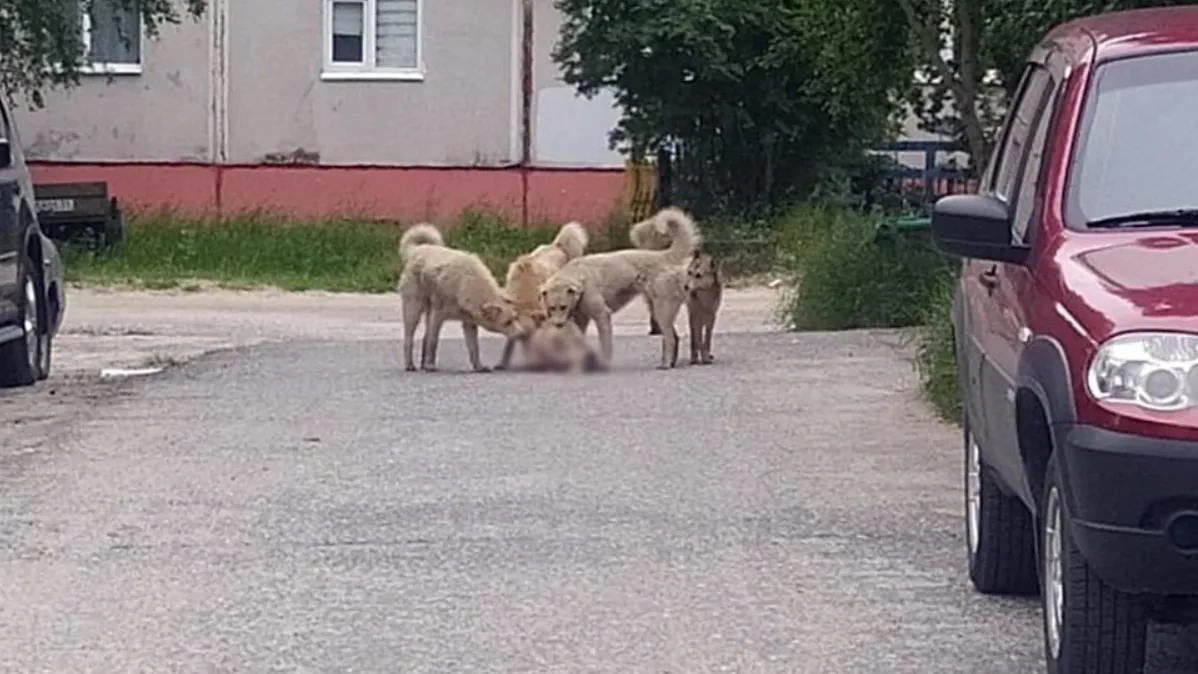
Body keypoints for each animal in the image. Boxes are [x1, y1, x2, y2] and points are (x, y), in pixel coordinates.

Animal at [539, 208, 699, 371]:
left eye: (563, 307)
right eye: (551, 308)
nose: (558, 325)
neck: (580, 276)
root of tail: (663, 256)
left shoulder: (602, 315)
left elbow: (605, 345)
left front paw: (603, 364)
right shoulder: (581, 320)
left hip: (662, 310)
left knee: (670, 338)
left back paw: (666, 364)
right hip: (659, 309)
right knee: (674, 337)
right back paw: (670, 363)